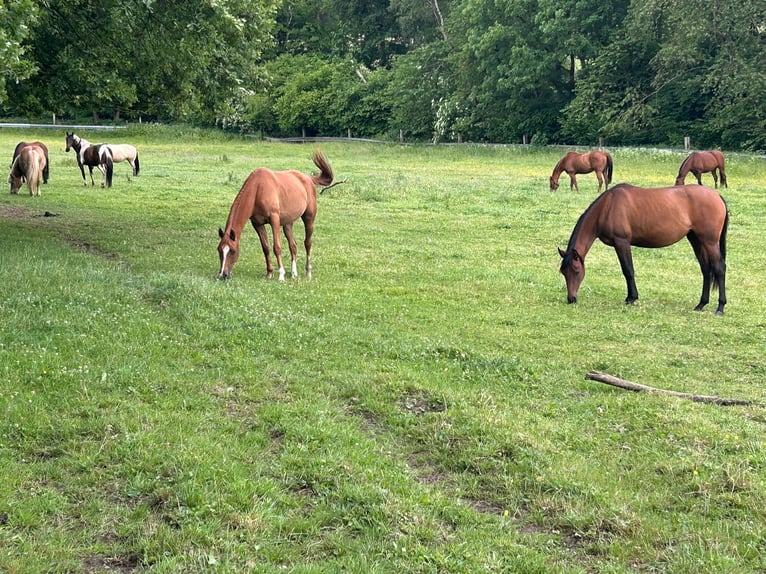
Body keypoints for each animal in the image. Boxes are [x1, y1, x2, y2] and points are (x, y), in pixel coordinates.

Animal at [217, 151, 334, 281]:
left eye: (232, 251)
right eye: (219, 250)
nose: (223, 275)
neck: (258, 189)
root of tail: (308, 178)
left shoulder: (274, 220)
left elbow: (276, 247)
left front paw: (281, 275)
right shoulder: (257, 224)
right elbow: (266, 248)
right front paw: (269, 273)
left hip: (309, 218)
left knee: (307, 243)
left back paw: (308, 272)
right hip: (288, 223)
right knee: (293, 246)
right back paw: (294, 273)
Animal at [558, 183, 729, 315]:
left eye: (577, 271)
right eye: (563, 272)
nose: (571, 299)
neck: (608, 207)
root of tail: (717, 195)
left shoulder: (622, 242)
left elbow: (628, 270)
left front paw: (631, 298)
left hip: (709, 242)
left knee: (719, 268)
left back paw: (720, 307)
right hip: (696, 240)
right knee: (706, 270)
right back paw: (701, 304)